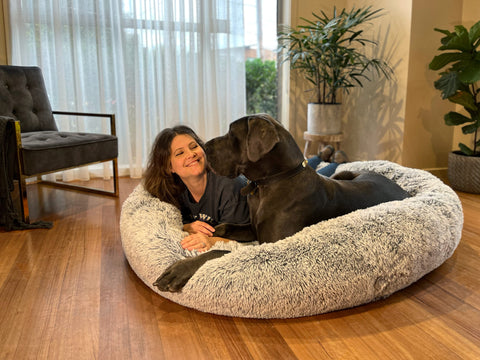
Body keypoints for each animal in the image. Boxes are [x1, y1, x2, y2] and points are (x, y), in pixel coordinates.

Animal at [154, 114, 408, 292]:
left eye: (232, 133)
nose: (203, 147)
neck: (270, 183)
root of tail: (402, 189)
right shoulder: (252, 228)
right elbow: (222, 228)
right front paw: (192, 228)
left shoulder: (270, 245)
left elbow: (220, 252)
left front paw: (179, 269)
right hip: (345, 175)